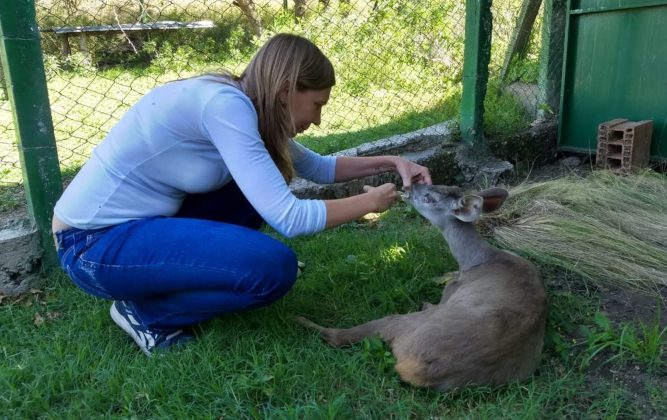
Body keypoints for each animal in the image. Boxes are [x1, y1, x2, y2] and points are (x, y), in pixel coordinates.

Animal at [298, 185, 548, 392]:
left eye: (429, 197)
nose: (409, 187)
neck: (474, 260)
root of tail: (417, 369)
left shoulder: (450, 291)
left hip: (408, 326)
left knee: (341, 335)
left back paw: (301, 319)